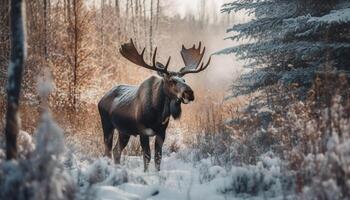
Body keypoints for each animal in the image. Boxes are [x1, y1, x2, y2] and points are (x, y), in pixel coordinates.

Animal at [98, 39, 212, 172]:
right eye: (172, 80)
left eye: (184, 80)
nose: (189, 93)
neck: (158, 113)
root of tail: (101, 99)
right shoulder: (143, 131)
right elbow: (147, 156)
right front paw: (146, 173)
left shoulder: (161, 132)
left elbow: (158, 157)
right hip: (107, 125)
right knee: (107, 151)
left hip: (124, 131)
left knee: (116, 151)